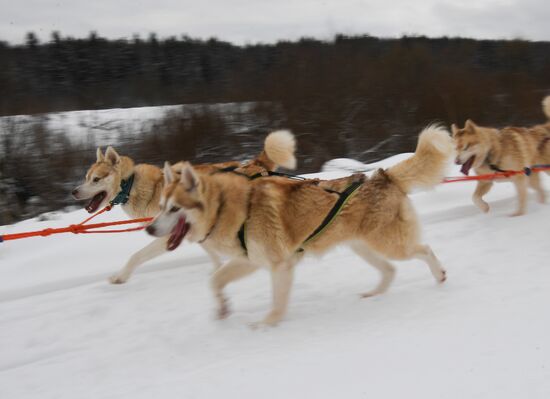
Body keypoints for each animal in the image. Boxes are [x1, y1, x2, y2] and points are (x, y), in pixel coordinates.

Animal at [74, 131, 298, 284]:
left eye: (96, 179)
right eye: (85, 178)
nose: (74, 191)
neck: (132, 185)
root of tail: (253, 165)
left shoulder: (167, 234)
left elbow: (136, 256)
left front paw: (121, 276)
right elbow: (212, 253)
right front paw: (218, 268)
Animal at [146, 126, 452, 328]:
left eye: (174, 209)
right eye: (160, 206)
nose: (149, 229)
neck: (231, 207)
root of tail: (383, 175)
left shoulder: (280, 265)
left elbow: (277, 303)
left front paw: (265, 325)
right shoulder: (249, 260)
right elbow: (215, 280)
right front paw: (222, 308)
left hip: (389, 244)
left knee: (424, 250)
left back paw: (439, 275)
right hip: (363, 247)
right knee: (390, 270)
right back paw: (373, 294)